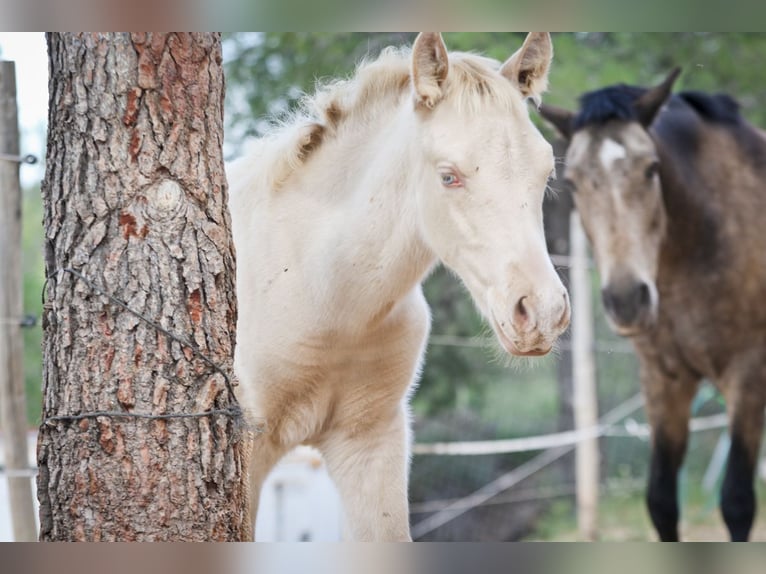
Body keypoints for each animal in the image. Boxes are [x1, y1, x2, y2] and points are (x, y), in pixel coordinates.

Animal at [231, 33, 572, 544]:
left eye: (546, 172)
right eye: (449, 175)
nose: (542, 312)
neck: (323, 290)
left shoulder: (372, 440)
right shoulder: (251, 448)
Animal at [540, 70, 766, 544]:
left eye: (652, 169)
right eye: (574, 183)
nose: (627, 299)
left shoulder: (748, 375)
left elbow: (737, 501)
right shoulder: (664, 380)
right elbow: (661, 500)